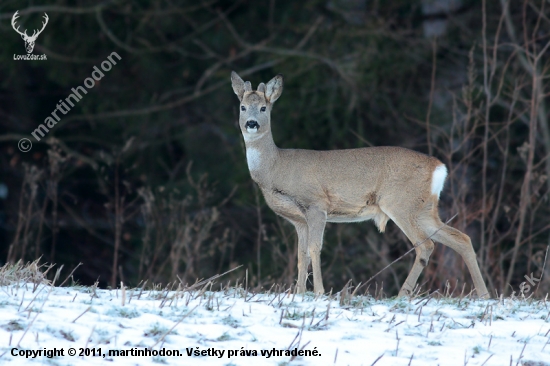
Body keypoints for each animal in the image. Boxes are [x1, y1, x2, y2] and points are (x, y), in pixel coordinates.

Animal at [231, 71, 490, 298]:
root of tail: (439, 167)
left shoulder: (316, 204)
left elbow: (315, 249)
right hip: (423, 209)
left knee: (425, 246)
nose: (251, 123)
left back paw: (402, 295)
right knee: (461, 238)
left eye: (263, 108)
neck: (276, 168)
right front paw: (299, 293)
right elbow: (301, 255)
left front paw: (319, 292)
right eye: (242, 107)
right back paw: (484, 294)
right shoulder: (298, 219)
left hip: (400, 203)